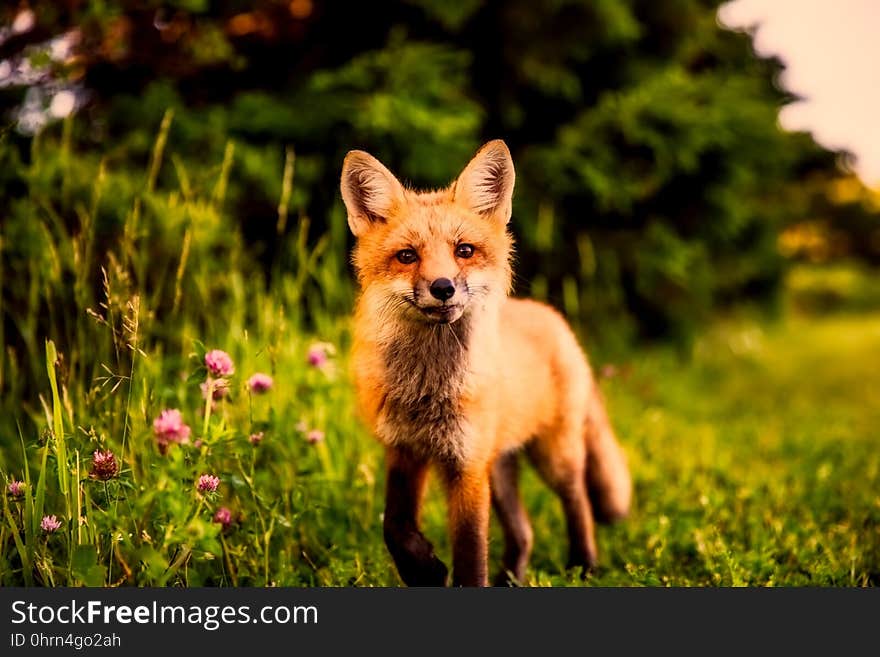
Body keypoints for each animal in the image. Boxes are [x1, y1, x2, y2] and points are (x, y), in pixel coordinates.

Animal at [340, 140, 628, 584]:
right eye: (407, 256)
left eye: (464, 251)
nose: (443, 287)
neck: (428, 390)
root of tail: (552, 316)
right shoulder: (405, 450)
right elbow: (395, 527)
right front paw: (424, 569)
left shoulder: (467, 465)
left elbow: (471, 553)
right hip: (501, 467)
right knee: (524, 532)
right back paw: (512, 578)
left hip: (553, 455)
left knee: (578, 499)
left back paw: (584, 565)